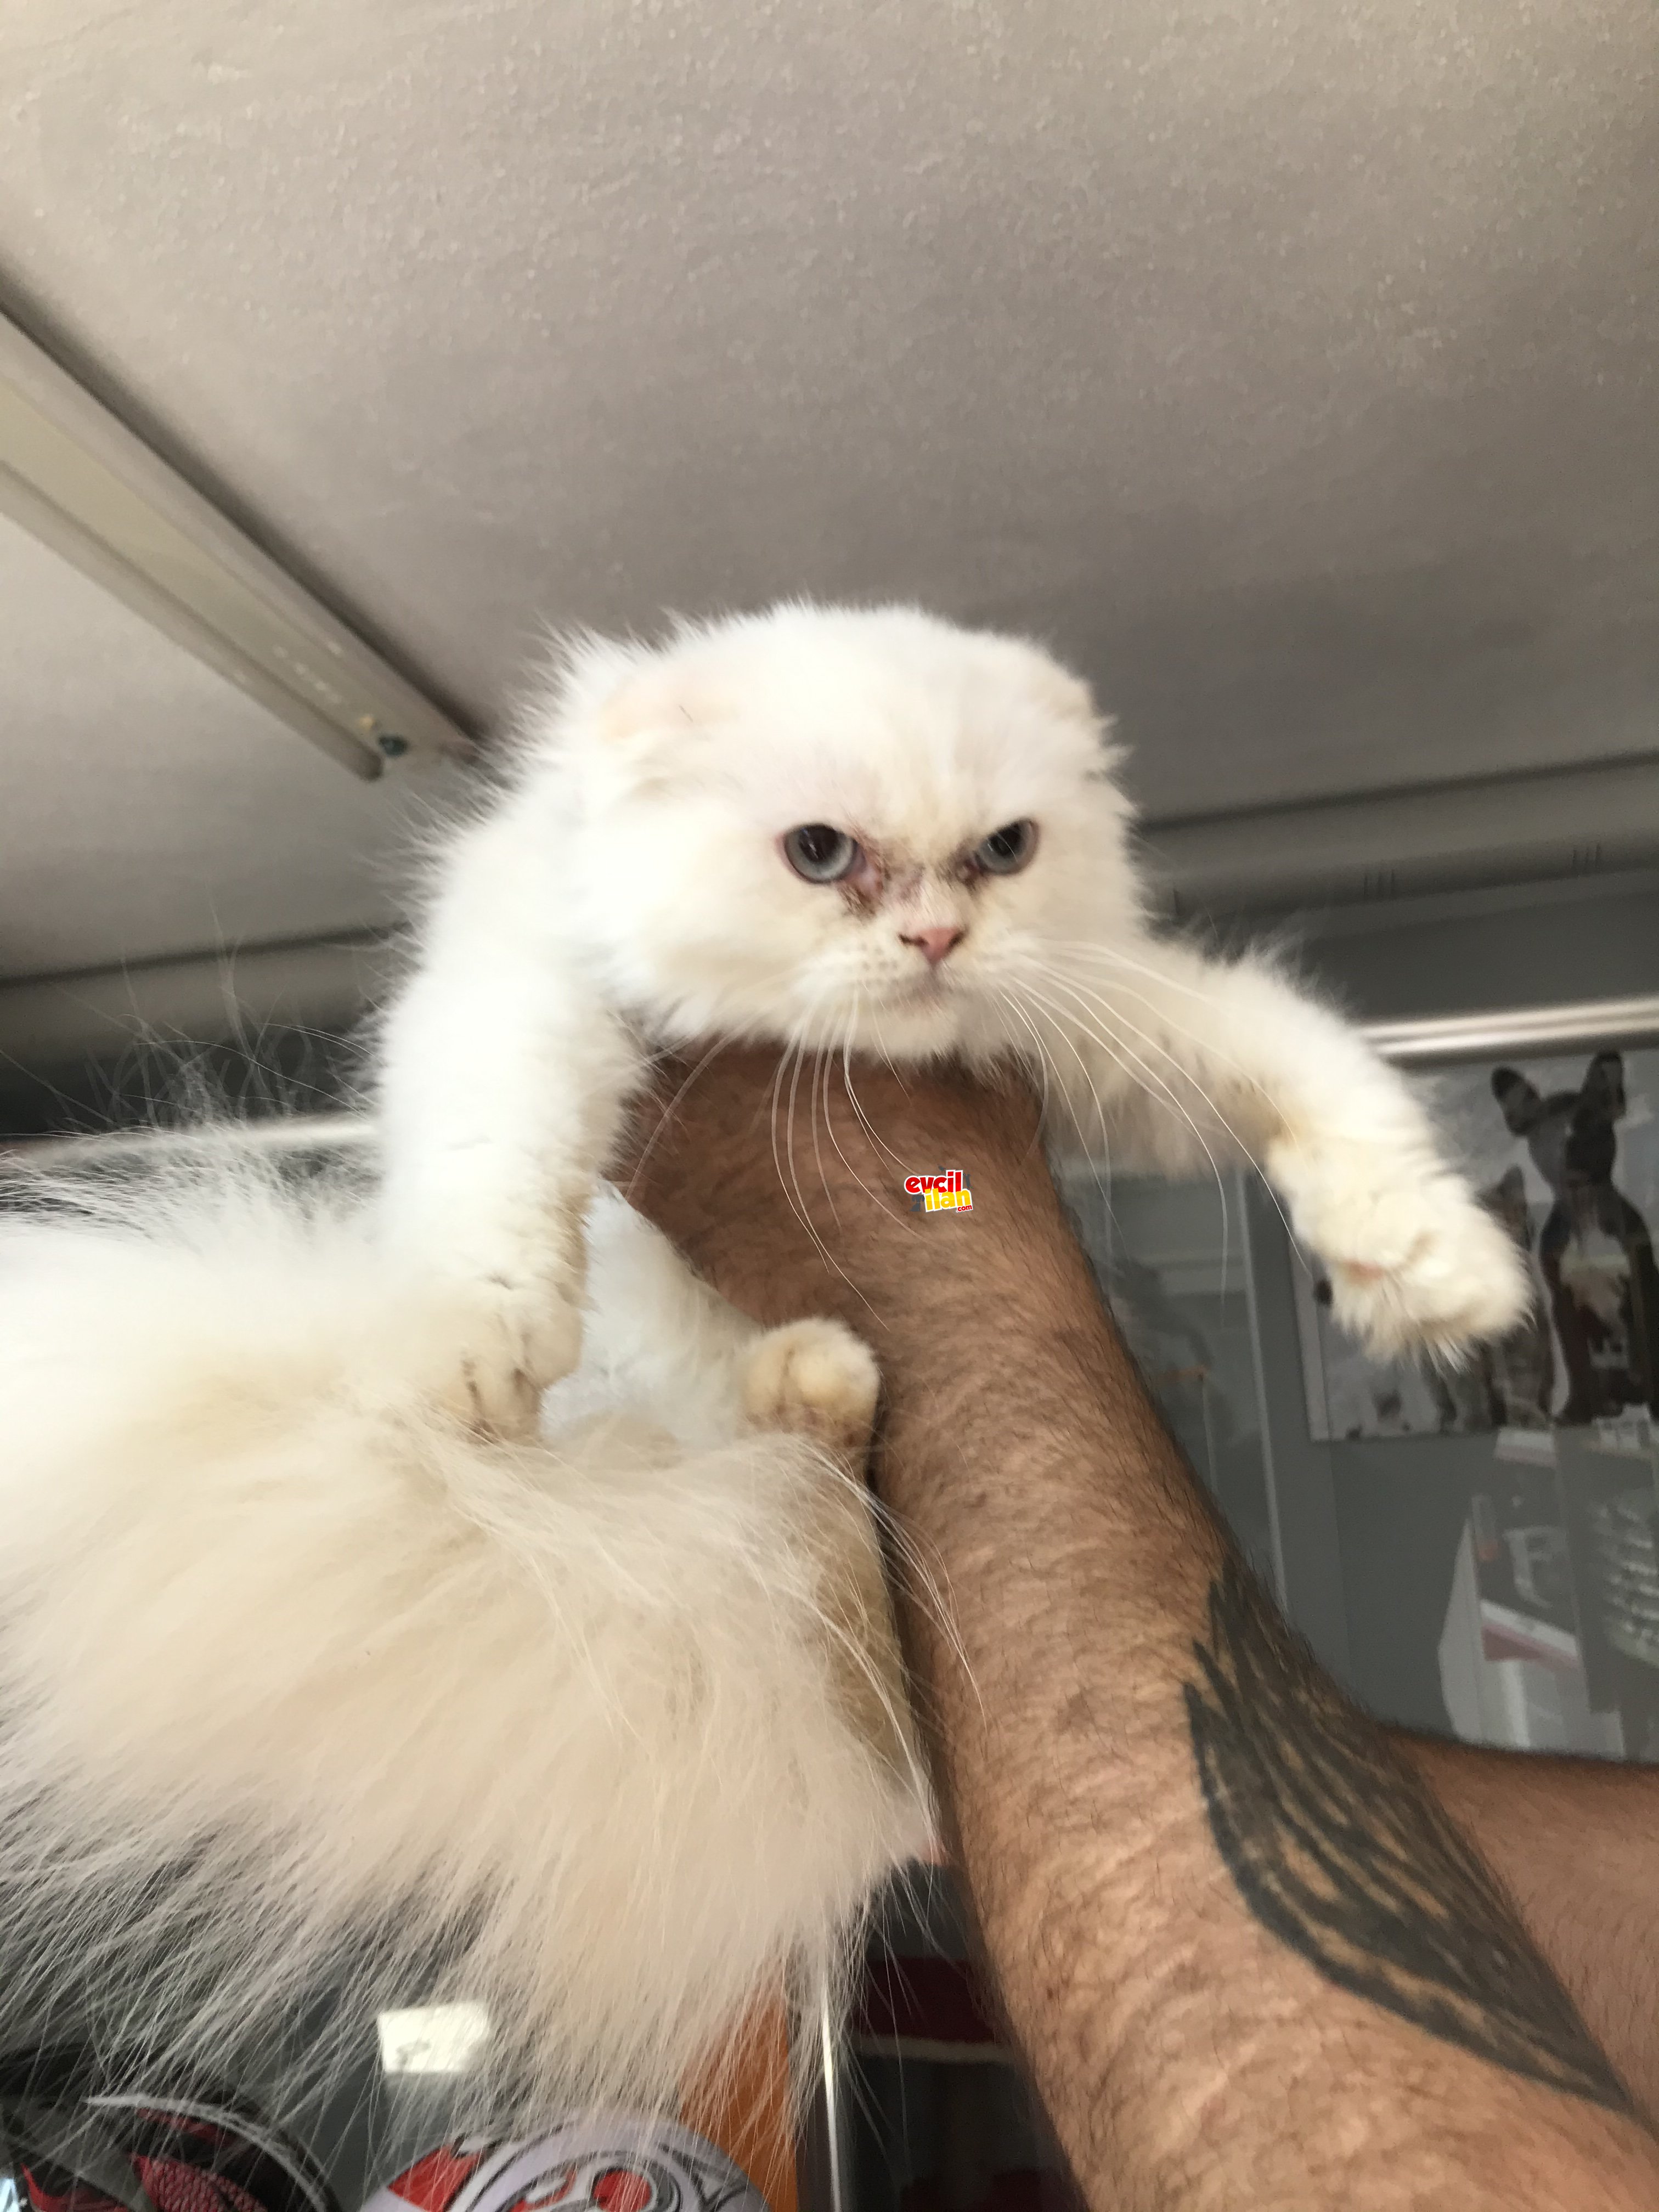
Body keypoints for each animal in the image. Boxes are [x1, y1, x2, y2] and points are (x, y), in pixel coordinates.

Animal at [0, 606, 1522, 2123]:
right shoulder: (527, 991)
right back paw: (793, 1384)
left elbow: (1318, 1080)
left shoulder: (1103, 1020)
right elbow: (500, 1165)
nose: (938, 935)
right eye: (822, 854)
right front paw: (476, 1358)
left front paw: (1440, 1272)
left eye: (1004, 850)